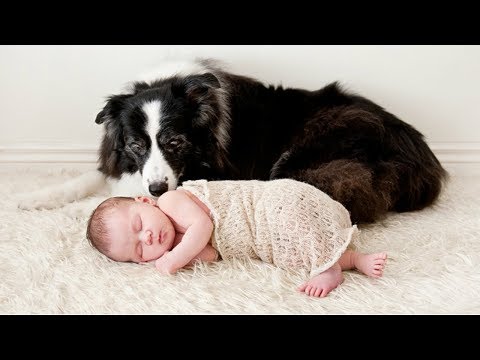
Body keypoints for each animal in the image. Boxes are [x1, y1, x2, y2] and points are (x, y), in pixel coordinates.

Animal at [17, 58, 446, 222]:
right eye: (137, 144)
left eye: (175, 141)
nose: (156, 189)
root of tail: (424, 162)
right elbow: (91, 177)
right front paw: (35, 198)